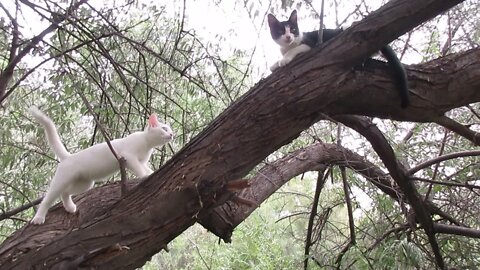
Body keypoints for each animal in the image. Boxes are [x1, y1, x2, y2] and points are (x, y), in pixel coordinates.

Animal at [29, 106, 174, 225]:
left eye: (170, 129)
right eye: (164, 129)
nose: (172, 134)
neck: (147, 144)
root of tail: (68, 157)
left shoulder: (141, 161)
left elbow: (146, 168)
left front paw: (151, 172)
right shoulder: (130, 157)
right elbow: (139, 169)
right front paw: (144, 176)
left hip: (85, 183)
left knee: (65, 193)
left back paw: (70, 207)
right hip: (62, 180)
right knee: (47, 199)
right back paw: (38, 218)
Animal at [266, 10, 408, 108]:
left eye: (293, 29)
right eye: (281, 31)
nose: (288, 37)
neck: (289, 45)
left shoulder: (311, 45)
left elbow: (295, 50)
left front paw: (284, 60)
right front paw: (275, 64)